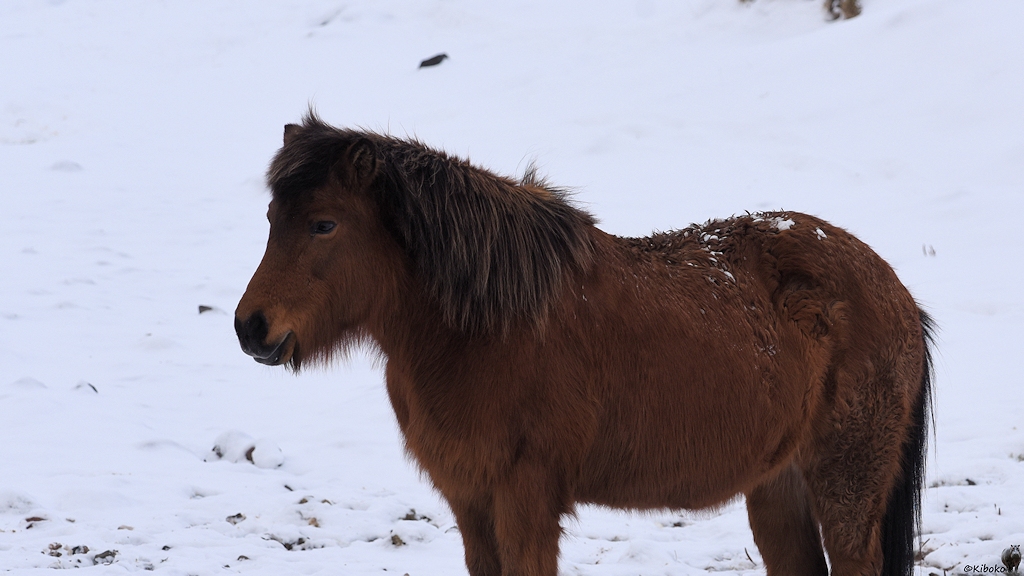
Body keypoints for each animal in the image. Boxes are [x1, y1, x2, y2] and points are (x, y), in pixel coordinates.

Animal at [235, 112, 934, 576]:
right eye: (271, 219)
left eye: (324, 225)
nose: (251, 328)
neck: (487, 326)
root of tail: (896, 292)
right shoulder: (471, 502)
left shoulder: (525, 500)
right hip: (777, 487)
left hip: (846, 485)